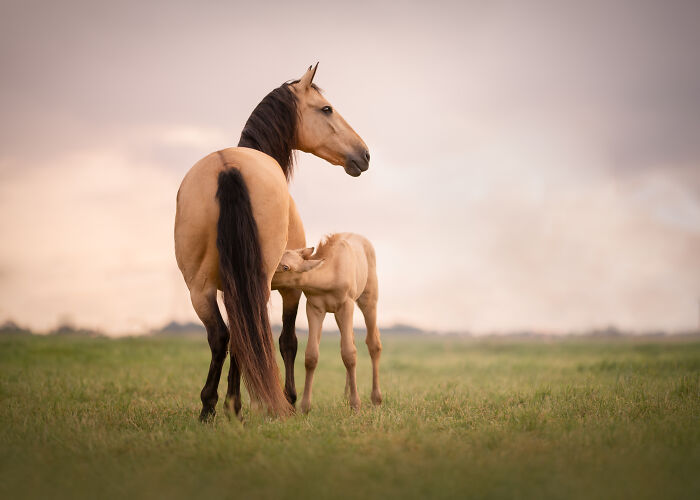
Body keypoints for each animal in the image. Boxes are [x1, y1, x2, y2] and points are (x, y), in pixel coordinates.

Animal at [174, 64, 370, 420]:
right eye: (326, 109)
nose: (364, 154)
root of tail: (229, 167)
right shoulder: (292, 289)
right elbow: (288, 341)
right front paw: (289, 398)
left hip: (199, 288)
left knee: (223, 336)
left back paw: (210, 408)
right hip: (256, 282)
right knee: (244, 336)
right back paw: (234, 406)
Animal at [272, 233, 382, 413]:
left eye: (286, 267)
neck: (330, 275)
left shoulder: (346, 305)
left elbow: (349, 354)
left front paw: (356, 405)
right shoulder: (314, 308)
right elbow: (311, 355)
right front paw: (305, 407)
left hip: (368, 299)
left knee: (374, 343)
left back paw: (376, 399)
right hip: (337, 314)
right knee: (352, 339)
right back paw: (346, 395)